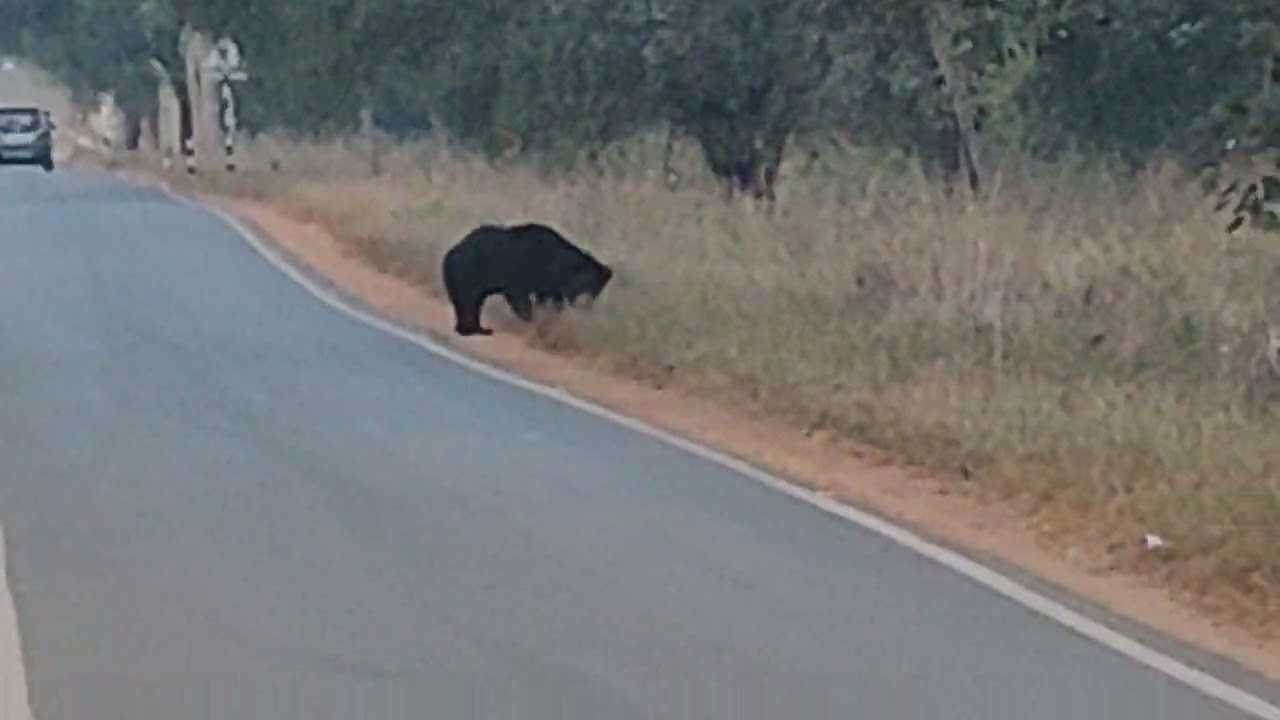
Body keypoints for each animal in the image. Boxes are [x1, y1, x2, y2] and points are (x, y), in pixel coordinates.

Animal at [440, 221, 614, 336]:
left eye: (597, 290)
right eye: (588, 285)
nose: (586, 306)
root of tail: (450, 253)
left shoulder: (548, 285)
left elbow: (549, 300)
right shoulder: (522, 272)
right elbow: (521, 298)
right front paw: (531, 319)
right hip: (468, 275)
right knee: (469, 303)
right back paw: (476, 329)